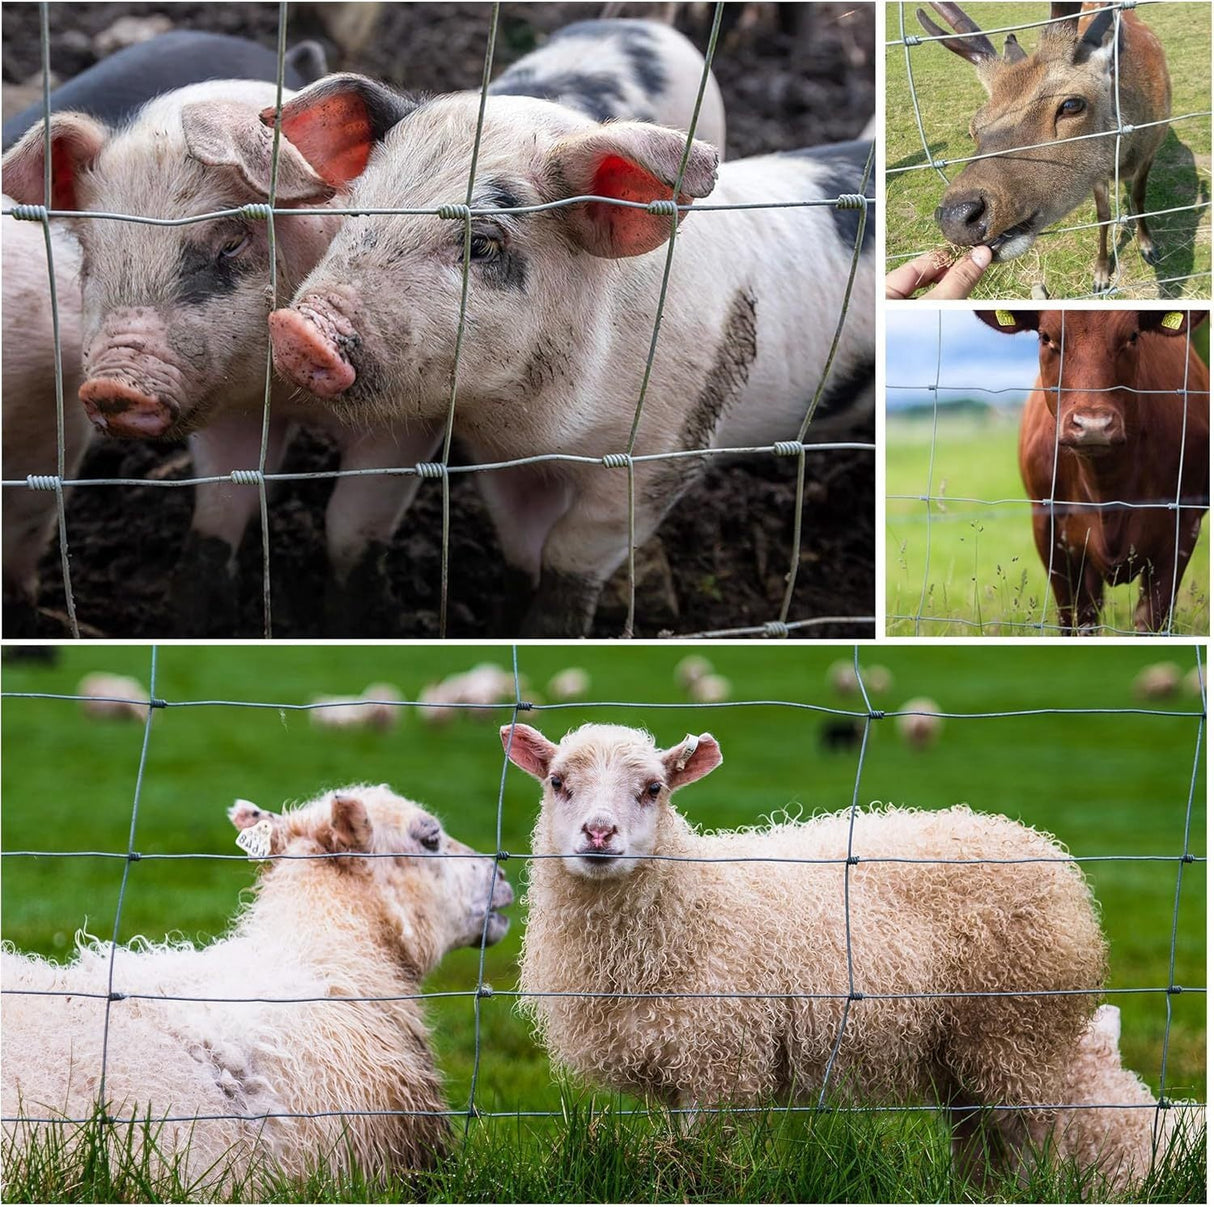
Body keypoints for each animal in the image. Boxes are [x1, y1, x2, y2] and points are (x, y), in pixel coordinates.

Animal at [978, 309, 1209, 634]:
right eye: (1046, 337)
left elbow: (1151, 619)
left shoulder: (1184, 525)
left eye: (1133, 336)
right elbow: (1072, 616)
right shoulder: (1048, 526)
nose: (1093, 426)